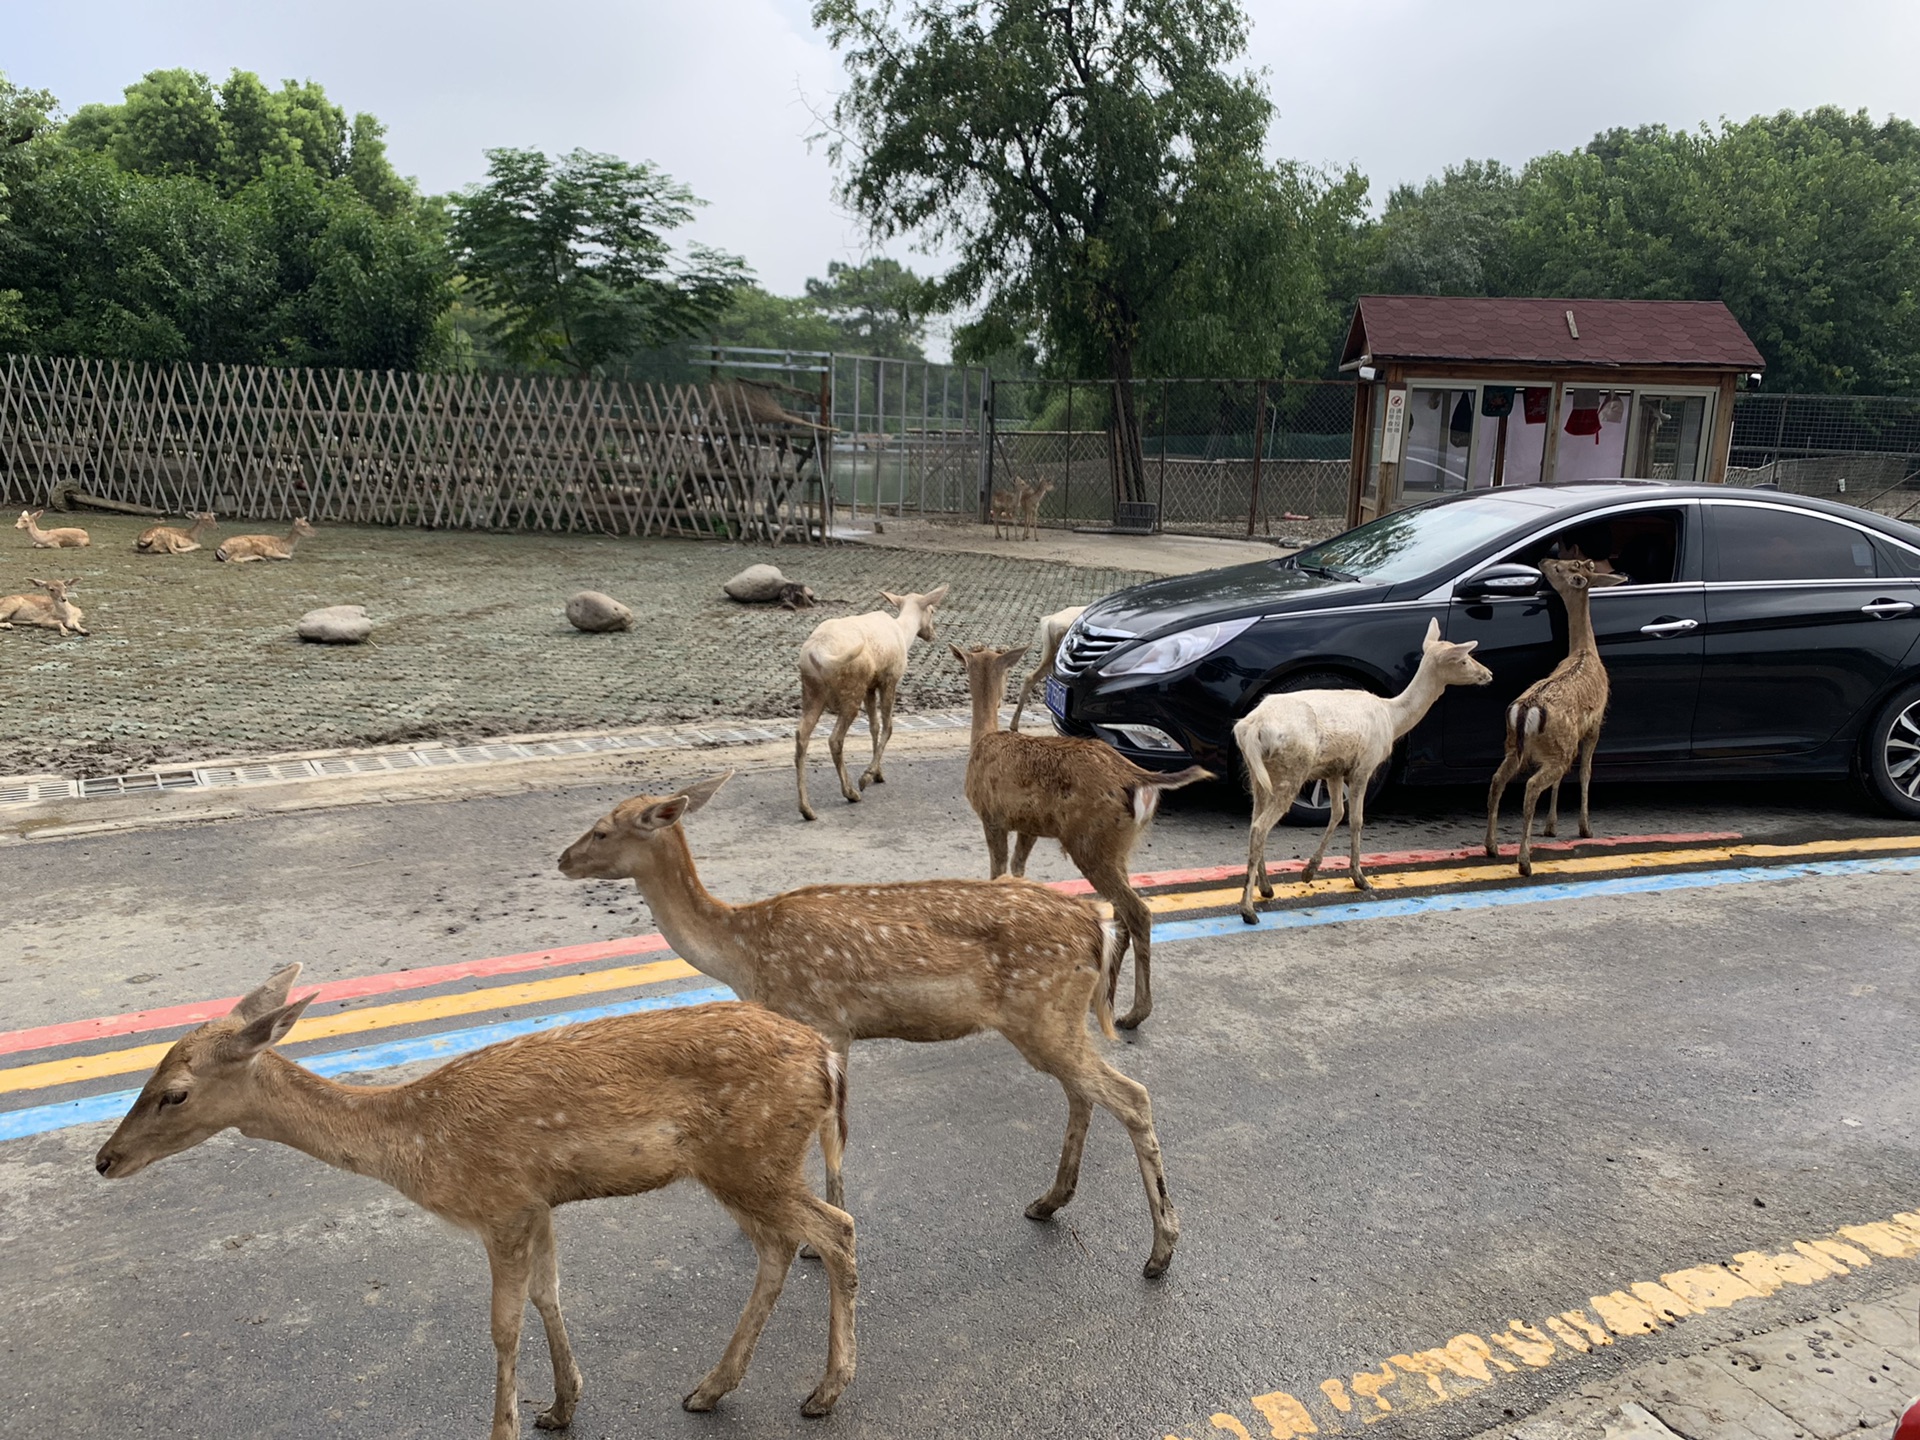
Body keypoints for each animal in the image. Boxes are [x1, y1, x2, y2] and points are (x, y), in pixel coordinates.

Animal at [93, 963, 860, 1436]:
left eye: (174, 1093)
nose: (105, 1160)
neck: (416, 1145)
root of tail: (826, 1058)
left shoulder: (500, 1205)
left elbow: (503, 1325)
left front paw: (506, 1425)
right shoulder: (538, 1203)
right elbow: (550, 1293)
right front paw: (561, 1405)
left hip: (751, 1158)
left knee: (836, 1229)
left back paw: (824, 1393)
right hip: (741, 1166)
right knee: (781, 1245)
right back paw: (710, 1388)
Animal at [560, 771, 1175, 1282]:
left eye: (602, 830)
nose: (562, 859)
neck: (741, 954)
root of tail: (1094, 927)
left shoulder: (823, 1021)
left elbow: (834, 1132)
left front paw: (815, 1240)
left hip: (1043, 1011)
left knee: (1131, 1095)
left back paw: (1160, 1251)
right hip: (1054, 1020)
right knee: (1085, 1094)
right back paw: (1048, 1202)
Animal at [791, 579, 948, 817]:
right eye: (932, 610)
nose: (933, 634)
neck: (904, 634)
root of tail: (817, 653)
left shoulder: (870, 687)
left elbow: (874, 726)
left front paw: (878, 774)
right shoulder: (889, 679)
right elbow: (888, 726)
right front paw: (867, 776)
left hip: (811, 690)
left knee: (801, 735)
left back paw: (806, 809)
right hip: (851, 688)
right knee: (834, 739)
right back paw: (851, 792)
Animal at [1236, 618, 1489, 913]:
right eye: (1463, 659)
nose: (1488, 674)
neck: (1392, 718)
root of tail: (1249, 727)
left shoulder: (1334, 769)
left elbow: (1336, 813)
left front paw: (1309, 871)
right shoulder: (1364, 765)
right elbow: (1356, 820)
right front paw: (1360, 878)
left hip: (1258, 774)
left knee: (1254, 822)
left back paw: (1266, 888)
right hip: (1291, 769)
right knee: (1260, 827)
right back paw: (1248, 909)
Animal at [1489, 560, 1628, 879]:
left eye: (1561, 567)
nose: (1543, 562)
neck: (1585, 651)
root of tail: (1525, 710)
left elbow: (1563, 780)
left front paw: (1551, 827)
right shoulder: (1595, 725)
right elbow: (1586, 772)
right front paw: (1585, 828)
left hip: (1517, 745)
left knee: (1497, 780)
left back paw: (1492, 847)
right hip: (1557, 748)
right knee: (1531, 787)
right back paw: (1524, 862)